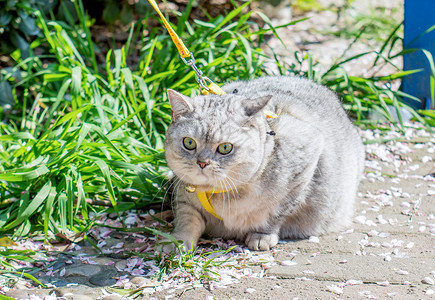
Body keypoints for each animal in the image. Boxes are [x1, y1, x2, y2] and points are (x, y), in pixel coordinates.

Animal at [164, 75, 364, 251]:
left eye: (225, 148)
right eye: (189, 143)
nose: (202, 163)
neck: (219, 192)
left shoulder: (304, 163)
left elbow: (276, 214)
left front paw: (262, 236)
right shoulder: (184, 195)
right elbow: (187, 219)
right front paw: (177, 243)